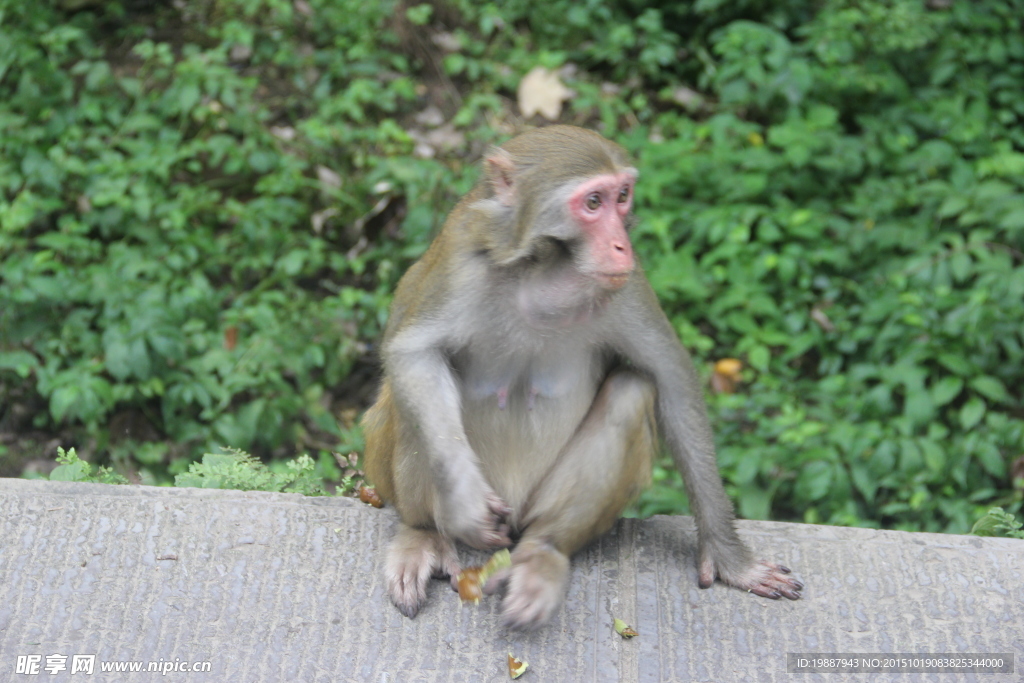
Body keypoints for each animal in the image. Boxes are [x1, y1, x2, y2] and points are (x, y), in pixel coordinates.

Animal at [364, 124, 802, 630]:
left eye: (622, 197)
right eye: (593, 203)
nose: (621, 244)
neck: (542, 271)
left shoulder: (627, 284)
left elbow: (671, 378)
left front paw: (732, 559)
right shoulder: (462, 263)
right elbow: (414, 354)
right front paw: (463, 500)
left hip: (534, 504)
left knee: (632, 392)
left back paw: (543, 554)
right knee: (410, 401)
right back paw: (424, 536)